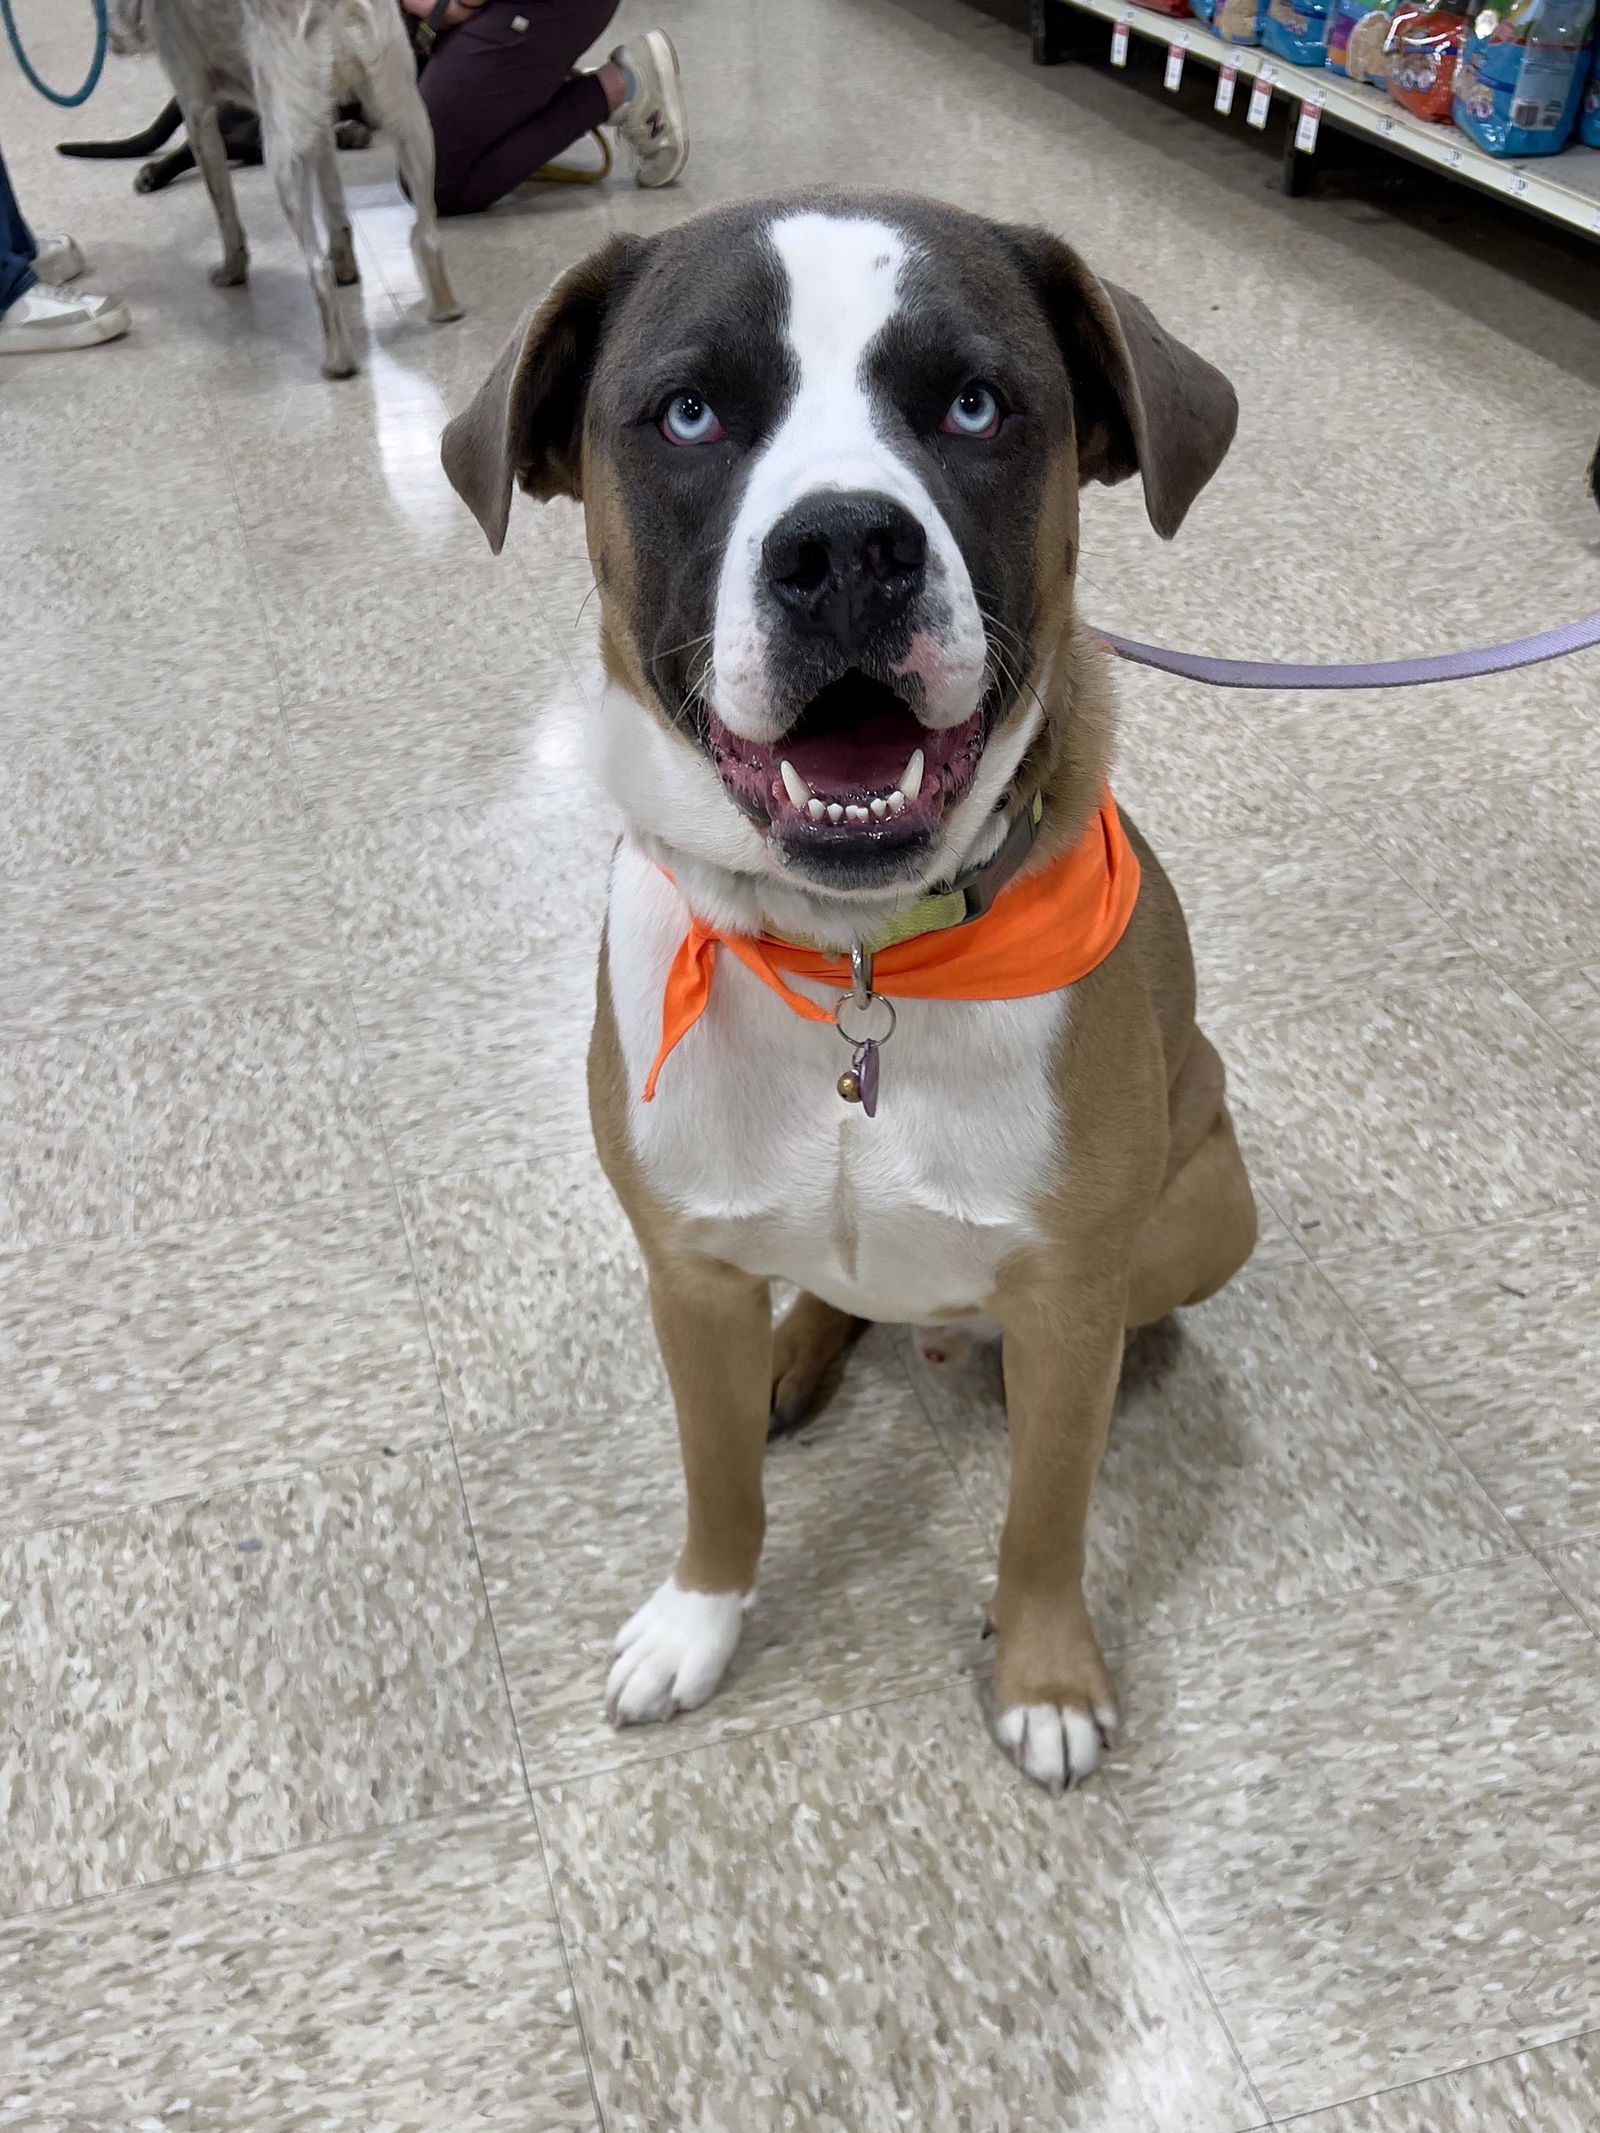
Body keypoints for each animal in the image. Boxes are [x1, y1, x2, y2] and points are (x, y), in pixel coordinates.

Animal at [445, 196, 1262, 1800]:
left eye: (975, 403)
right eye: (689, 411)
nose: (841, 546)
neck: (852, 962)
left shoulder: (1065, 1299)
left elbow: (1043, 1520)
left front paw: (1046, 1674)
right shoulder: (688, 1275)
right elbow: (717, 1490)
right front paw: (696, 1619)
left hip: (1213, 1196)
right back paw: (798, 1356)